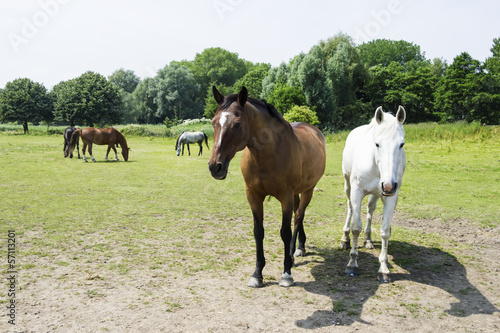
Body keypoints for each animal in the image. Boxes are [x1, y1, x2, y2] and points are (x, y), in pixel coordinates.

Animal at [208, 85, 328, 286]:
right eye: (213, 122)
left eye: (237, 124)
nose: (215, 166)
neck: (268, 154)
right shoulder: (254, 196)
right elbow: (258, 232)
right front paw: (257, 274)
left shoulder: (285, 197)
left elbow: (285, 232)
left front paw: (286, 273)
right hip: (297, 193)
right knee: (298, 214)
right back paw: (299, 247)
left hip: (308, 190)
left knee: (298, 216)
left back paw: (294, 252)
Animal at [340, 105, 406, 282]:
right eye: (377, 144)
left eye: (402, 144)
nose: (389, 185)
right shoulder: (357, 191)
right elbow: (356, 226)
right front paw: (352, 264)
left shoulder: (391, 197)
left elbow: (385, 232)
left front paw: (383, 269)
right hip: (348, 186)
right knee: (350, 208)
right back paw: (345, 239)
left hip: (377, 193)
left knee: (370, 209)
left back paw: (368, 239)